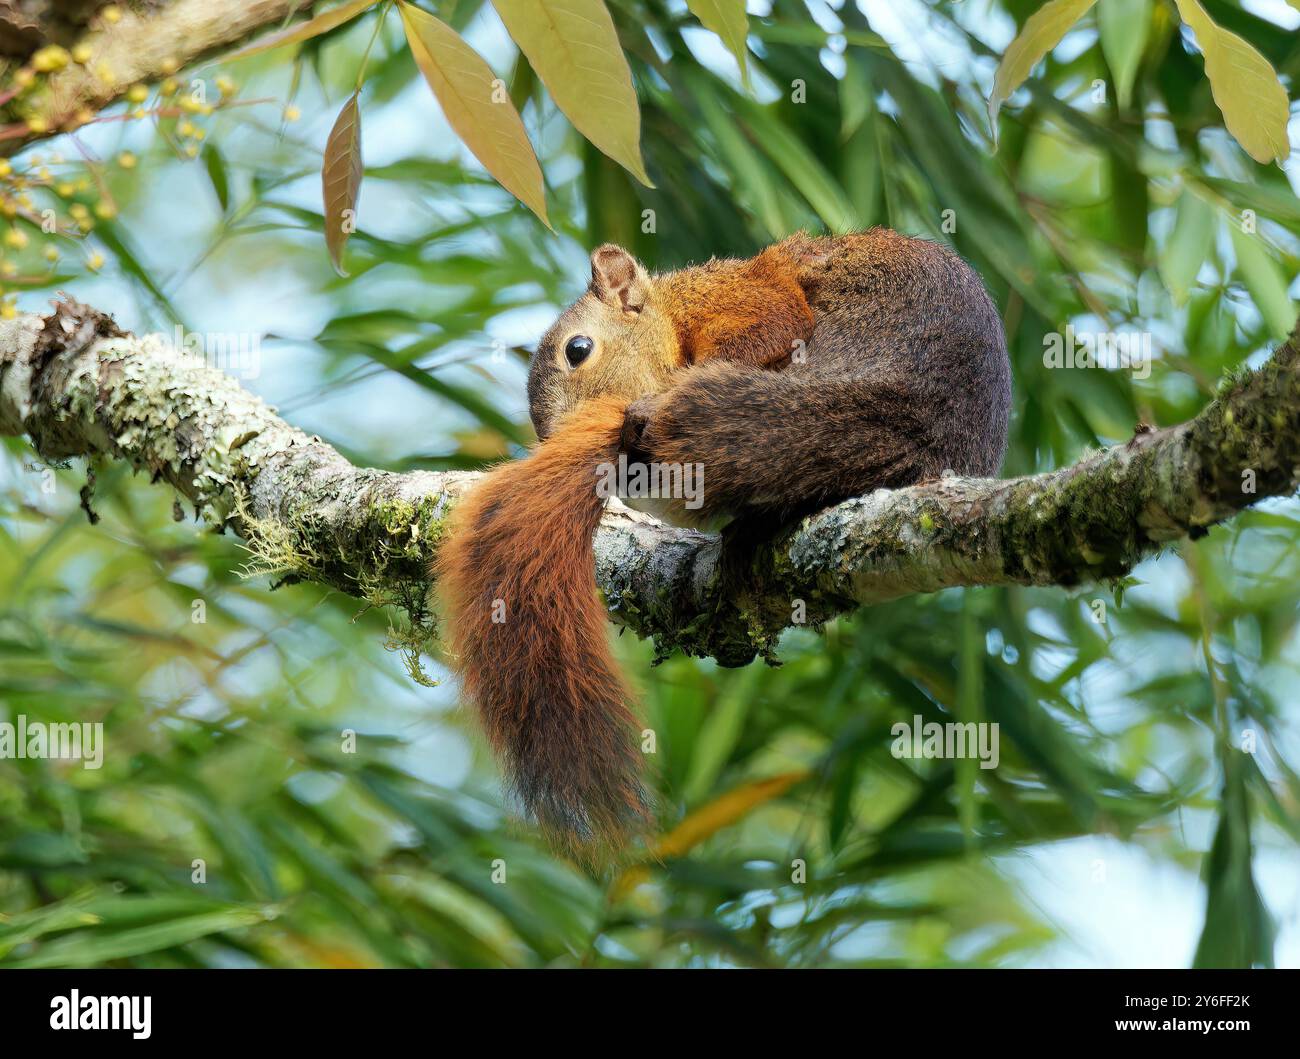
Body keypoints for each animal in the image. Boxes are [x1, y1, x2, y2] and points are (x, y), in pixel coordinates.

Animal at [436, 229, 1011, 856]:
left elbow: (775, 321)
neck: (674, 313)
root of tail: (914, 424)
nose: (557, 437)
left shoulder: (738, 296)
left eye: (578, 349)